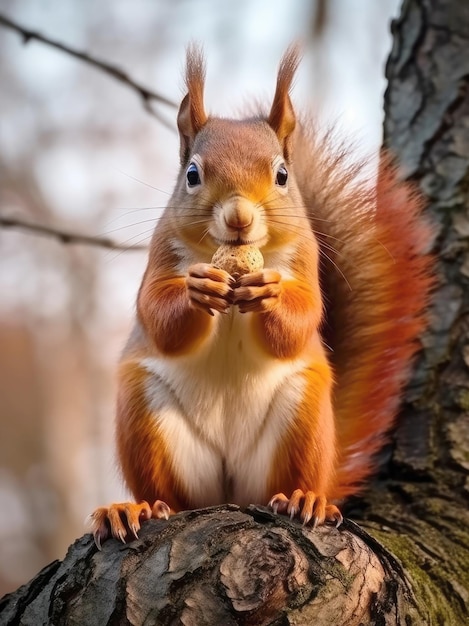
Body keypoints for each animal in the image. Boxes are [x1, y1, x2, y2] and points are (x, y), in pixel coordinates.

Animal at [88, 45, 432, 544]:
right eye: (192, 173)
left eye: (283, 175)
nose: (239, 216)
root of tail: (229, 493)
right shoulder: (160, 256)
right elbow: (157, 314)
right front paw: (198, 289)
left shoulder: (306, 261)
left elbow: (303, 317)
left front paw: (268, 293)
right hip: (144, 411)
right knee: (171, 498)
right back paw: (137, 509)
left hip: (302, 418)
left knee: (288, 484)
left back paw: (304, 500)